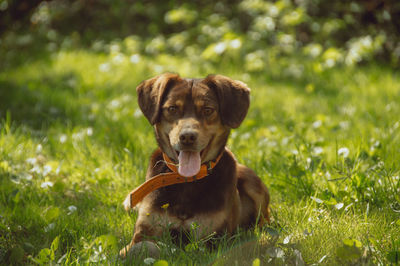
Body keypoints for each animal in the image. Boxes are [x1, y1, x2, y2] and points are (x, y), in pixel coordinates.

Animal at [120, 72, 270, 258]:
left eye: (207, 110)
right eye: (172, 109)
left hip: (252, 183)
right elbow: (141, 246)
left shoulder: (213, 240)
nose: (187, 137)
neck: (187, 182)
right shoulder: (145, 230)